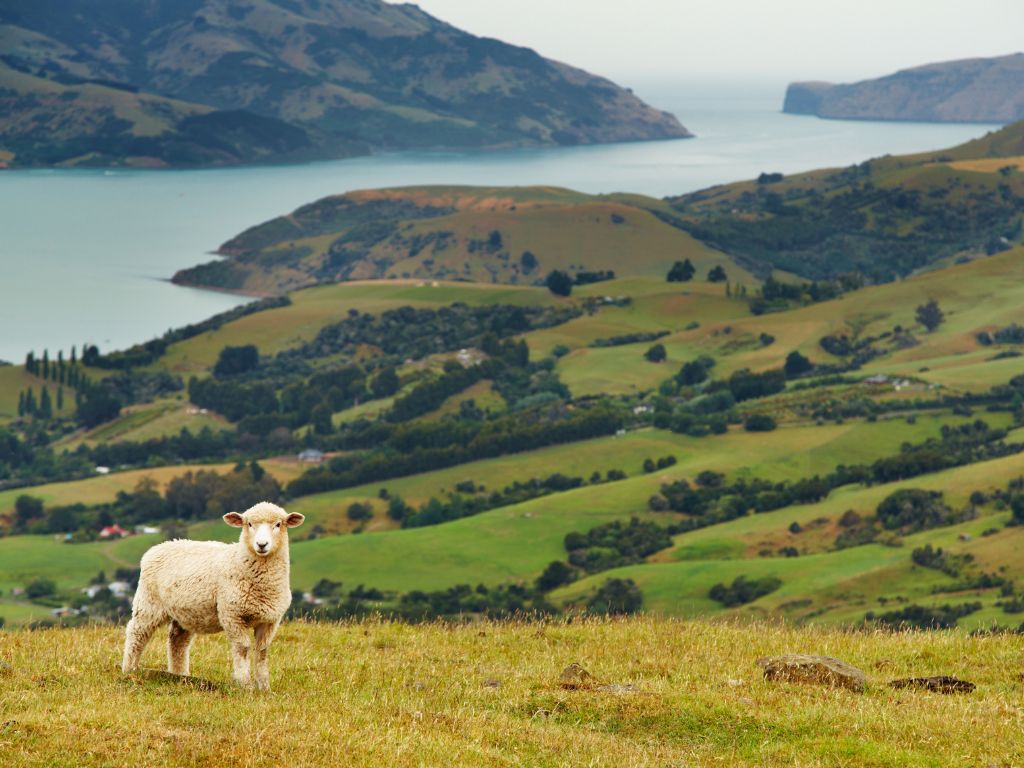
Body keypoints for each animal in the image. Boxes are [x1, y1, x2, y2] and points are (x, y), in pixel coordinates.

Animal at [120, 505, 303, 692]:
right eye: (249, 524)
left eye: (278, 524)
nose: (262, 545)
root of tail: (158, 547)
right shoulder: (232, 614)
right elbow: (243, 648)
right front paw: (245, 685)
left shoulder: (270, 620)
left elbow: (262, 652)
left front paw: (264, 687)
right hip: (149, 603)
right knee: (137, 633)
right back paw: (129, 669)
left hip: (185, 612)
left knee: (177, 641)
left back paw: (180, 675)